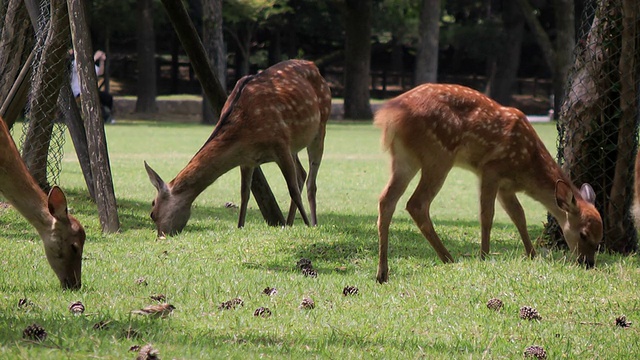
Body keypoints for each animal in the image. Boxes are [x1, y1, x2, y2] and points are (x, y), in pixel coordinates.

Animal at [146, 59, 332, 236]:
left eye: (152, 213)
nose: (161, 235)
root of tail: (314, 66)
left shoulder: (281, 144)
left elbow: (292, 189)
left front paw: (307, 225)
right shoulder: (247, 160)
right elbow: (244, 194)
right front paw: (240, 226)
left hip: (321, 126)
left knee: (310, 181)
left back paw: (313, 223)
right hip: (295, 144)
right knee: (302, 173)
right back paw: (289, 222)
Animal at [372, 84, 604, 284]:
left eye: (599, 239)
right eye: (583, 234)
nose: (588, 263)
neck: (527, 166)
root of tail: (390, 115)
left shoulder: (506, 187)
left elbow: (519, 216)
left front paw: (532, 254)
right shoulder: (491, 170)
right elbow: (487, 215)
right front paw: (484, 256)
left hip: (405, 158)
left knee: (386, 199)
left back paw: (383, 273)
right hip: (438, 155)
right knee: (417, 203)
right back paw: (448, 258)